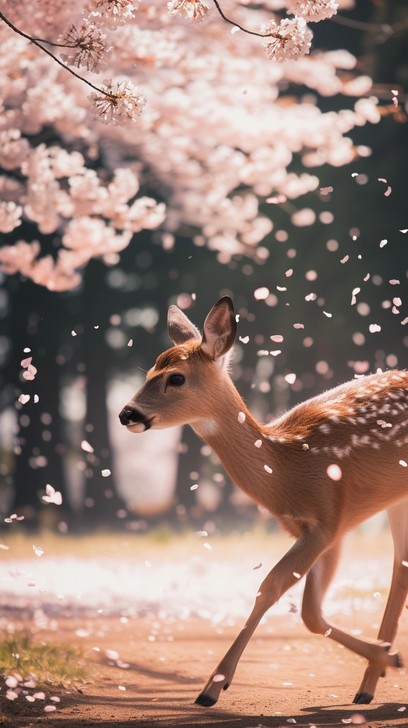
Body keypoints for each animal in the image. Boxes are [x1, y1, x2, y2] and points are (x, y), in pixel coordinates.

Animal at [119, 296, 408, 708]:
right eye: (149, 371)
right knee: (400, 565)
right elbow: (310, 613)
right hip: (395, 498)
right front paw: (387, 658)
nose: (126, 413)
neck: (290, 466)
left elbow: (269, 588)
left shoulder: (327, 519)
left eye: (175, 377)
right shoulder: (324, 529)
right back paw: (367, 684)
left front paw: (211, 688)